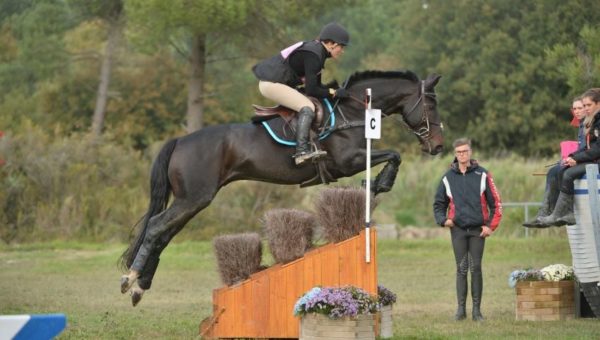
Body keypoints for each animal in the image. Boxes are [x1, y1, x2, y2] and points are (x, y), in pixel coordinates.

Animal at [119, 69, 442, 306]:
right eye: (430, 105)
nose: (437, 146)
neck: (350, 111)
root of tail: (180, 141)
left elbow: (392, 156)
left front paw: (375, 185)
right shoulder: (347, 161)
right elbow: (394, 155)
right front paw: (380, 183)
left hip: (191, 200)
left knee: (163, 233)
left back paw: (140, 286)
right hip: (194, 197)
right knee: (157, 227)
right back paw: (130, 279)